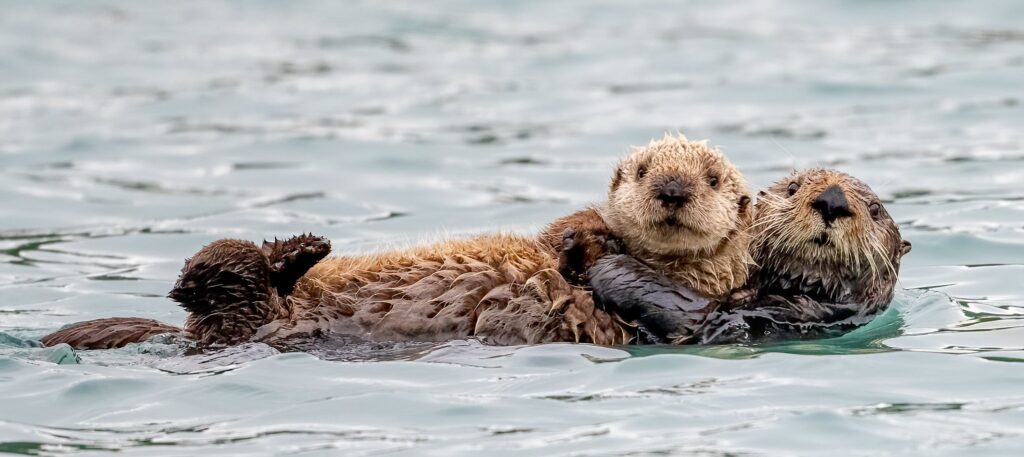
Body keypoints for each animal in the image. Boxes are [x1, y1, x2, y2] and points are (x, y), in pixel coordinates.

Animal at [41, 134, 753, 349]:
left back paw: (292, 254)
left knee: (212, 281)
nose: (672, 189)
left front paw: (593, 250)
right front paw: (583, 231)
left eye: (713, 178)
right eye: (642, 169)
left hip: (236, 309)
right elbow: (559, 234)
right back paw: (302, 253)